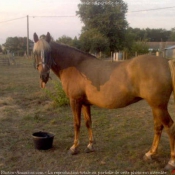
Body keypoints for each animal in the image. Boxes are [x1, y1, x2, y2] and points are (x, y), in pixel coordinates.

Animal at [33, 32, 175, 170]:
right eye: (35, 52)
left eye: (49, 52)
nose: (44, 76)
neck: (75, 65)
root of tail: (166, 63)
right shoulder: (85, 103)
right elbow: (88, 123)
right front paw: (90, 146)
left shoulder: (75, 101)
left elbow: (77, 124)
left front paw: (74, 148)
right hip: (155, 106)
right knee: (158, 127)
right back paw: (150, 154)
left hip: (158, 106)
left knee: (169, 127)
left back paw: (171, 162)